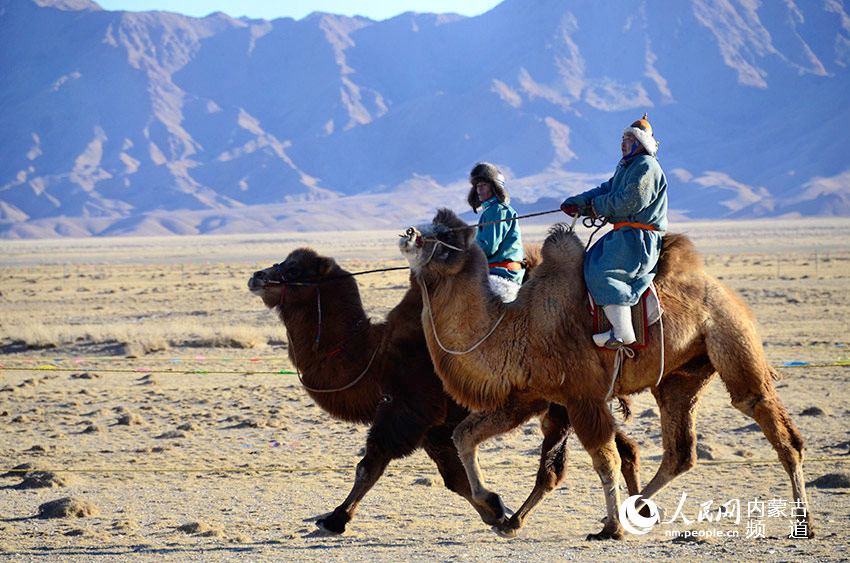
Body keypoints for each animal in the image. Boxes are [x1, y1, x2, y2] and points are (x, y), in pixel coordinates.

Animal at [248, 249, 640, 536]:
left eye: (293, 268)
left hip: (560, 400)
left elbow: (369, 465)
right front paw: (494, 510)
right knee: (623, 449)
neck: (374, 355)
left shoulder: (408, 410)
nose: (256, 276)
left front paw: (334, 519)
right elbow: (455, 479)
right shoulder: (433, 428)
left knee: (558, 468)